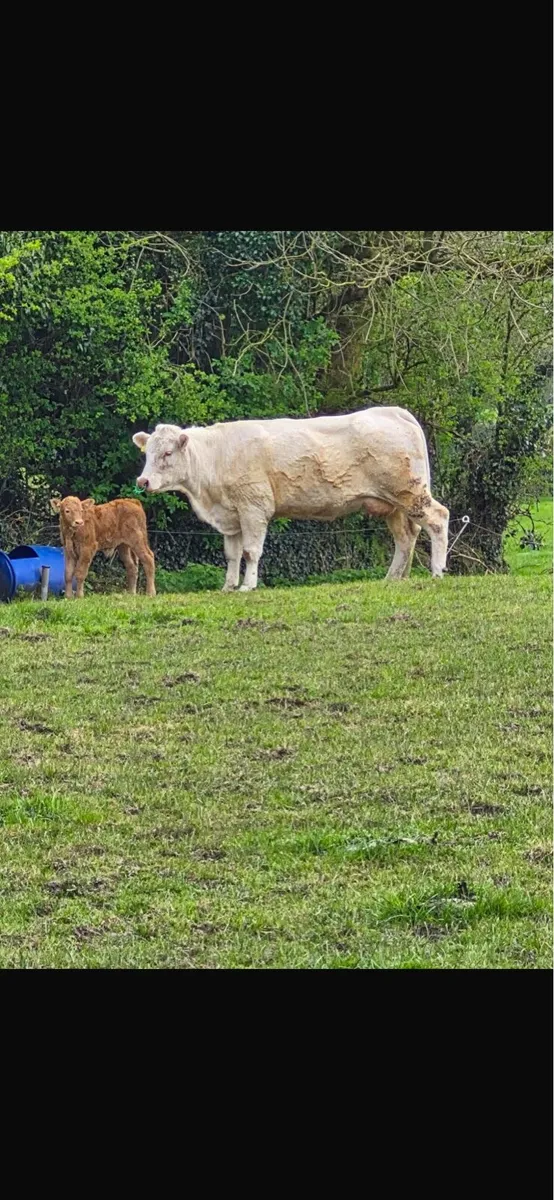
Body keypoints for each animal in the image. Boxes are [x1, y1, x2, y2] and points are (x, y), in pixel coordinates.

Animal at [133, 407, 449, 592]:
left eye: (167, 453)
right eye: (147, 453)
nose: (142, 481)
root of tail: (393, 411)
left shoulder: (254, 507)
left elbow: (251, 551)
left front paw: (248, 586)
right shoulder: (231, 516)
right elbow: (232, 555)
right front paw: (228, 586)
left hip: (409, 492)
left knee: (438, 518)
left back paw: (437, 571)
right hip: (393, 505)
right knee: (405, 537)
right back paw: (393, 578)